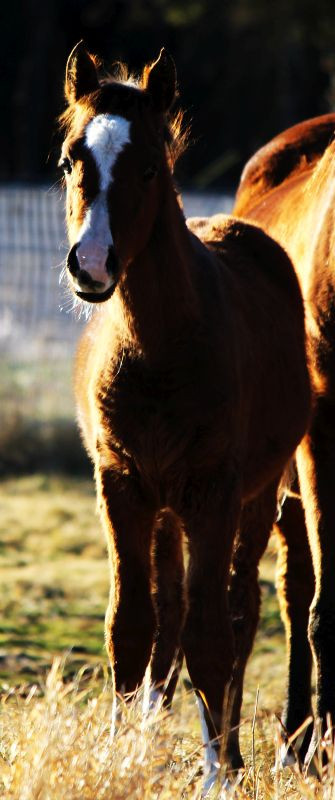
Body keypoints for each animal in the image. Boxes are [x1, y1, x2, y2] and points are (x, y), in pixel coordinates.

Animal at [58, 40, 312, 792]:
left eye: (149, 165)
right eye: (71, 161)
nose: (91, 265)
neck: (159, 348)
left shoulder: (214, 490)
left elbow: (211, 632)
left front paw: (217, 775)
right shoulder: (120, 484)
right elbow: (132, 625)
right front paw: (118, 754)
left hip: (254, 496)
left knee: (236, 608)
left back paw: (230, 752)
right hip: (165, 506)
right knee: (169, 612)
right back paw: (152, 731)